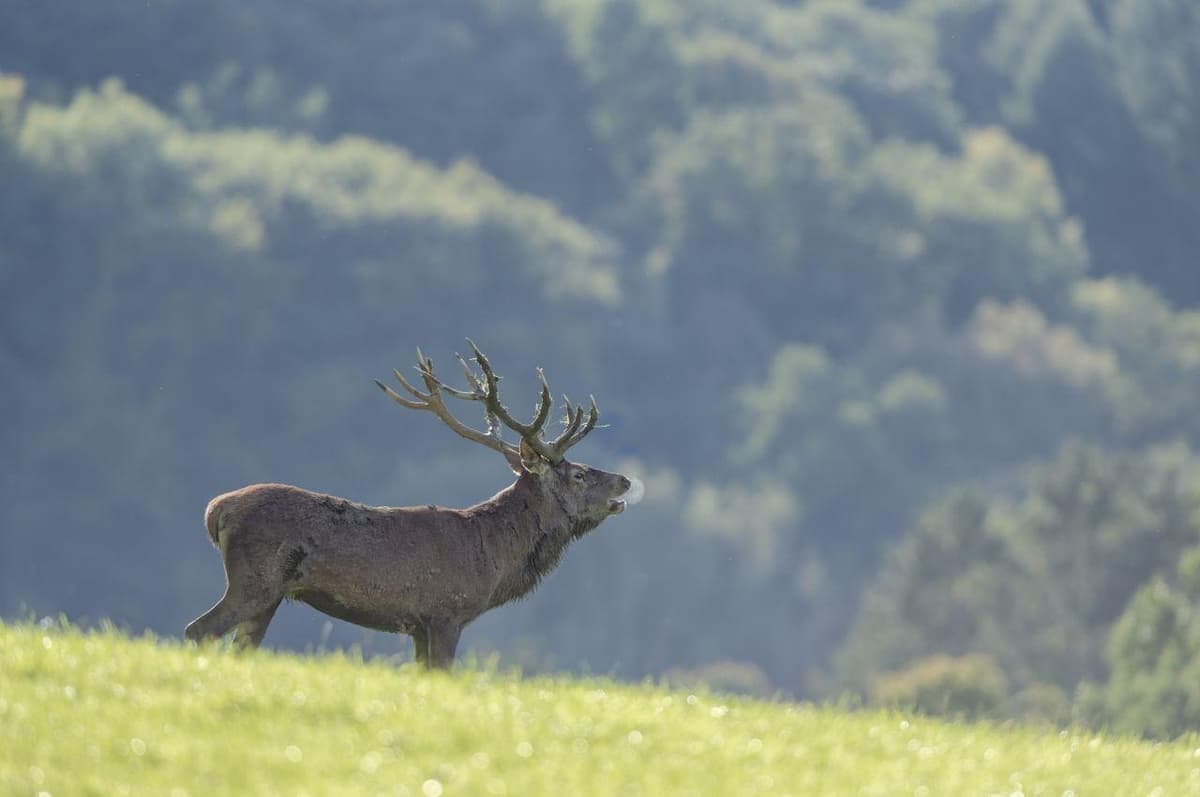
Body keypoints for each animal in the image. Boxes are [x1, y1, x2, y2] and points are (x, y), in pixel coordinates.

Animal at [184, 341, 631, 668]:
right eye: (579, 475)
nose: (624, 480)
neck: (494, 557)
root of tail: (216, 510)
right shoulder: (445, 612)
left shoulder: (417, 626)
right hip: (254, 579)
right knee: (198, 630)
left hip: (271, 594)